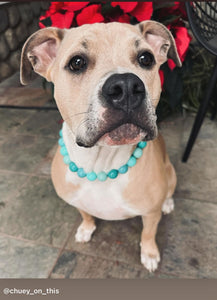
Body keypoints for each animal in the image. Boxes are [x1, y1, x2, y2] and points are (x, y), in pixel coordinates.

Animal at [20, 21, 181, 272]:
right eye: (77, 62)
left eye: (146, 58)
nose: (126, 86)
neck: (101, 163)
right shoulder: (76, 199)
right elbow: (85, 213)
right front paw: (86, 228)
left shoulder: (150, 213)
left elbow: (148, 233)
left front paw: (150, 254)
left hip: (170, 172)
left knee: (170, 191)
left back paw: (168, 202)